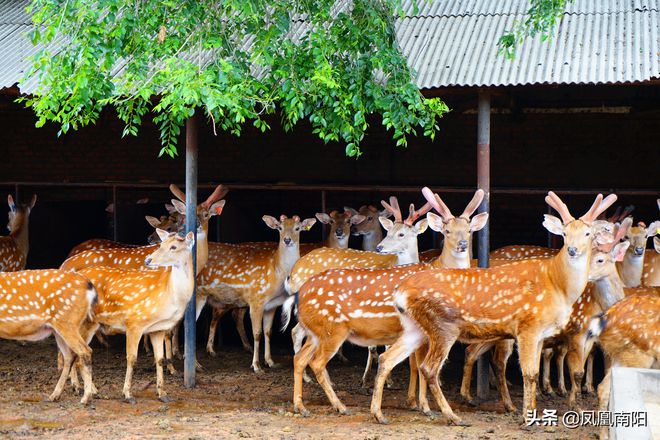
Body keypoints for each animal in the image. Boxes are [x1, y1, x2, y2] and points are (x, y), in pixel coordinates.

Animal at [0, 268, 96, 402]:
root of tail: (89, 285)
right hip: (59, 328)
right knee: (69, 356)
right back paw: (55, 395)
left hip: (67, 322)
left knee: (85, 351)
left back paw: (85, 397)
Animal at [75, 230, 193, 402]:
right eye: (161, 244)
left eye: (173, 247)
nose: (148, 260)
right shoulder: (135, 322)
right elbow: (131, 358)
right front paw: (128, 394)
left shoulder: (157, 328)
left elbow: (159, 359)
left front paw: (162, 393)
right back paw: (82, 389)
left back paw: (89, 390)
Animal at [286, 189, 492, 416]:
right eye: (447, 231)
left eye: (469, 231)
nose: (462, 245)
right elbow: (417, 365)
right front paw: (421, 405)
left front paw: (417, 402)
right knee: (309, 352)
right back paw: (336, 402)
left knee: (300, 354)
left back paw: (302, 405)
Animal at [372, 191, 620, 424]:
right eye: (565, 234)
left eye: (587, 234)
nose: (572, 250)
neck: (557, 284)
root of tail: (401, 291)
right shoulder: (528, 326)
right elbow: (529, 373)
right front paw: (527, 418)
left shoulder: (542, 333)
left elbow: (534, 372)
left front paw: (534, 413)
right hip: (443, 325)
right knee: (428, 368)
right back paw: (452, 416)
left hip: (415, 327)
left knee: (387, 358)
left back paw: (379, 414)